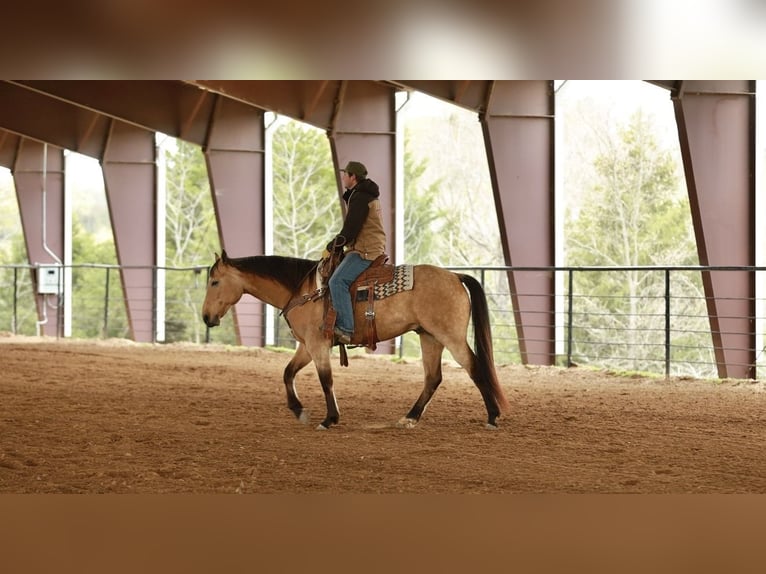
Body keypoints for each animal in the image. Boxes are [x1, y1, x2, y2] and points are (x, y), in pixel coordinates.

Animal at [202, 250, 510, 430]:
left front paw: (329, 418)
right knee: (433, 378)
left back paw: (492, 417)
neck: (302, 290)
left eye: (214, 282)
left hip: (450, 336)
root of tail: (454, 276)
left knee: (474, 368)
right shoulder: (306, 346)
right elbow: (287, 373)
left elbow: (326, 380)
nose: (206, 317)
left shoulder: (317, 345)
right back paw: (410, 417)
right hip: (430, 337)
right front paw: (298, 410)